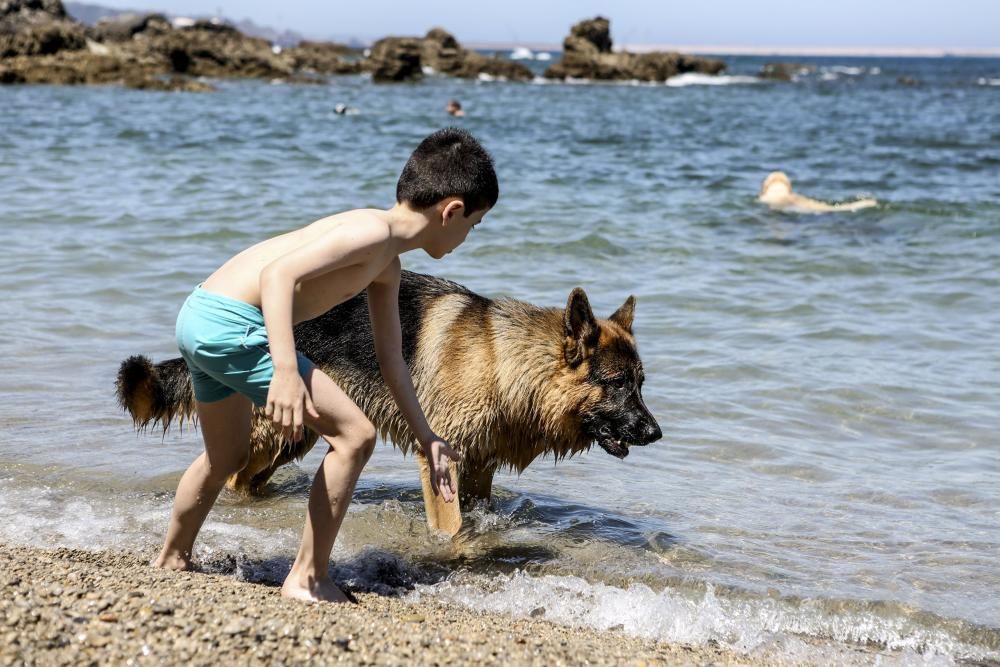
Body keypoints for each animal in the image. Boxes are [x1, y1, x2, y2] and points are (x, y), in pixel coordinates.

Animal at [117, 268, 660, 536]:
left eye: (641, 383)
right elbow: (451, 526)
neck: (502, 360)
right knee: (230, 475)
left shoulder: (479, 466)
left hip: (295, 437)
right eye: (617, 384)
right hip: (272, 432)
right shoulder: (440, 459)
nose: (656, 433)